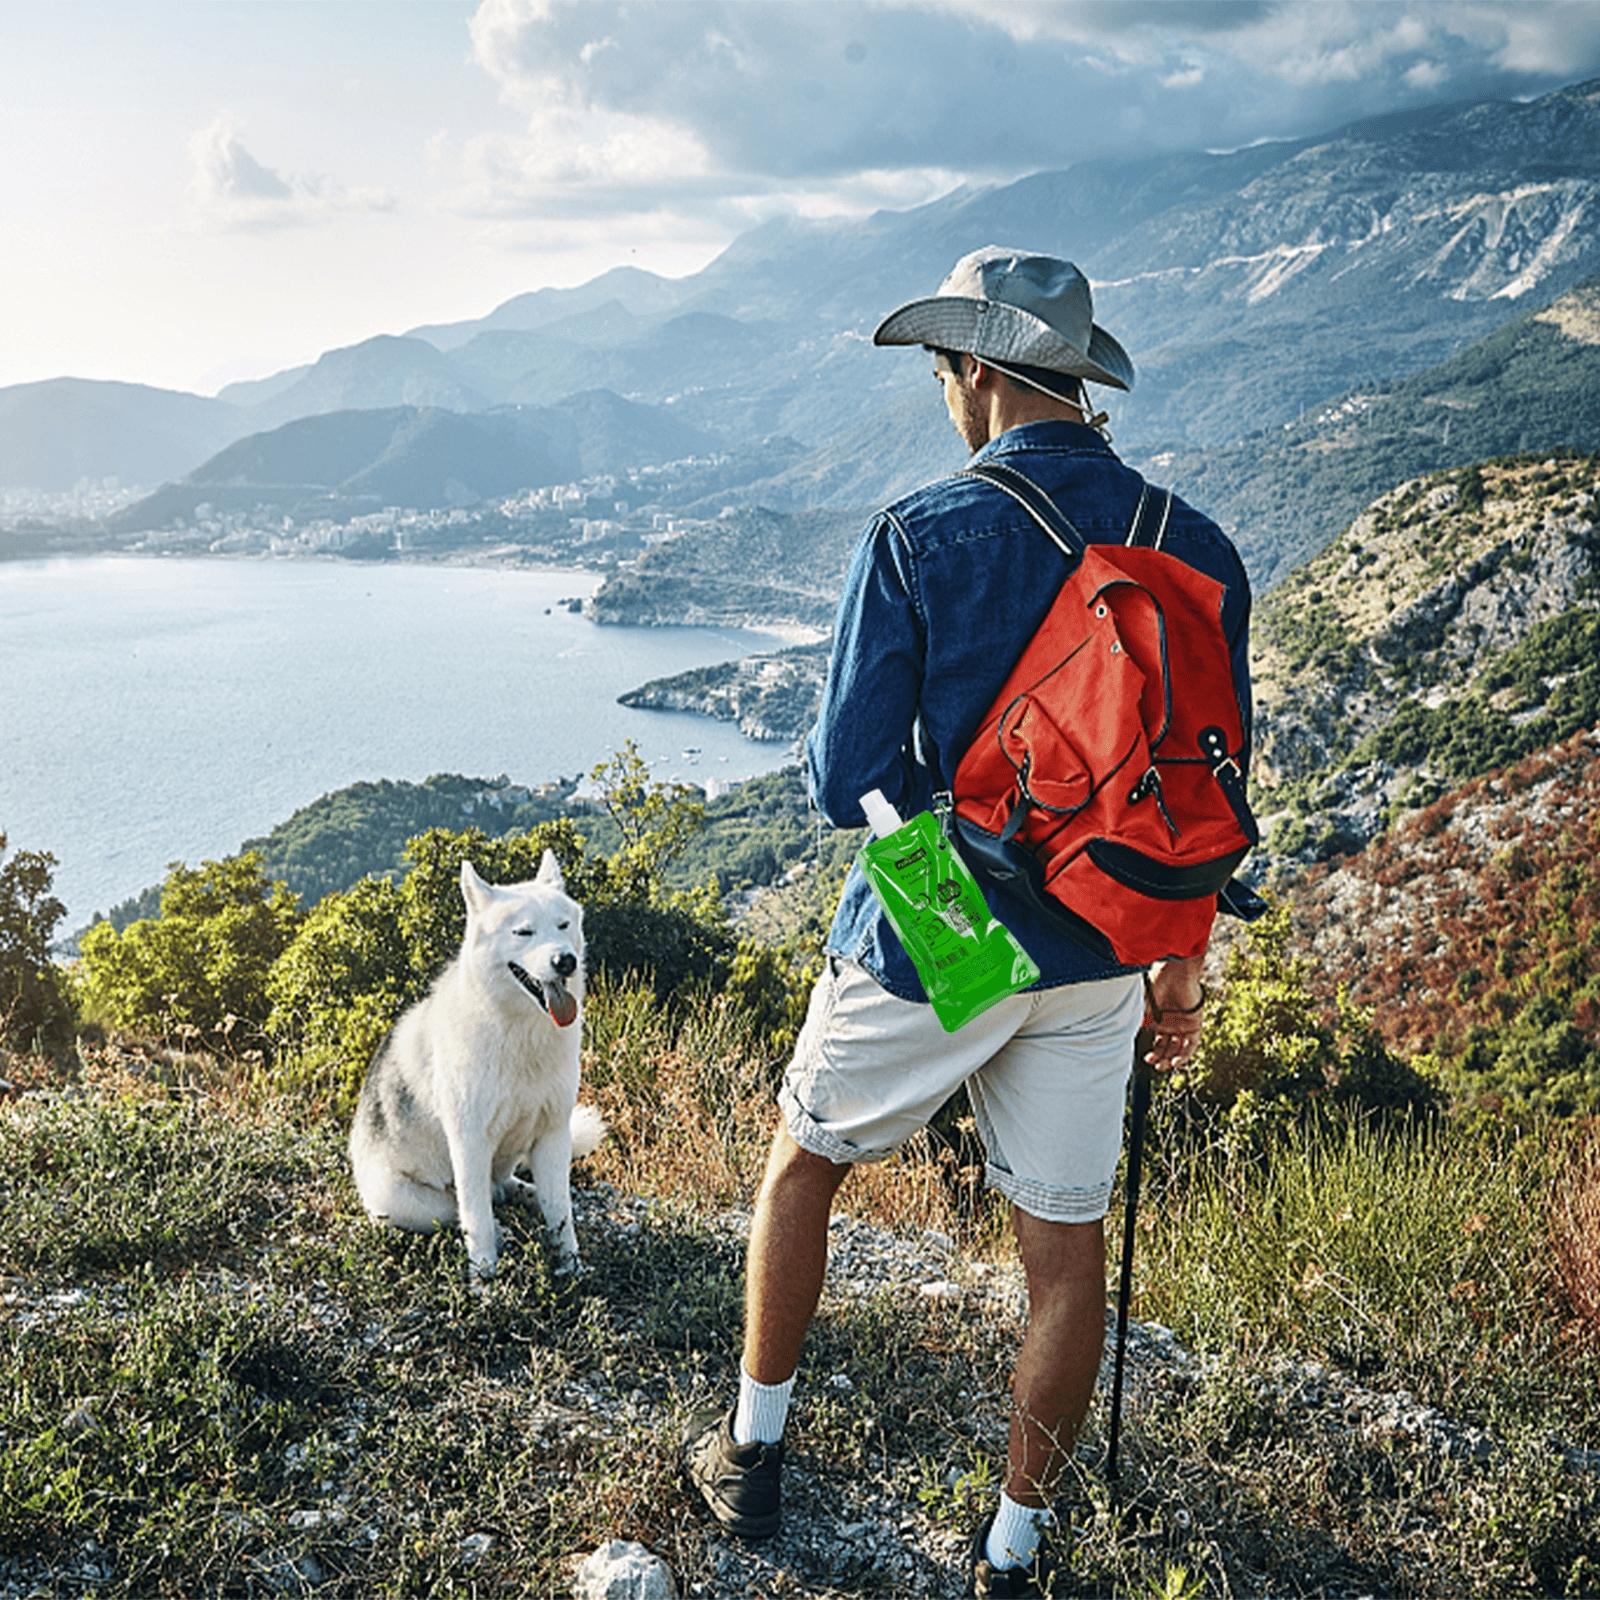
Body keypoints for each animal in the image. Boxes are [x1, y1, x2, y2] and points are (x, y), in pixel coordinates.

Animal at [347, 851, 601, 1273]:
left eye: (563, 925)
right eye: (523, 932)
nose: (565, 961)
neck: (518, 1032)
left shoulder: (553, 1133)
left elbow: (559, 1212)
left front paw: (572, 1269)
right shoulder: (470, 1143)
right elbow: (476, 1220)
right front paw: (485, 1279)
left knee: (503, 1187)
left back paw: (521, 1193)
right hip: (403, 1200)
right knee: (462, 1208)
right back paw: (501, 1228)